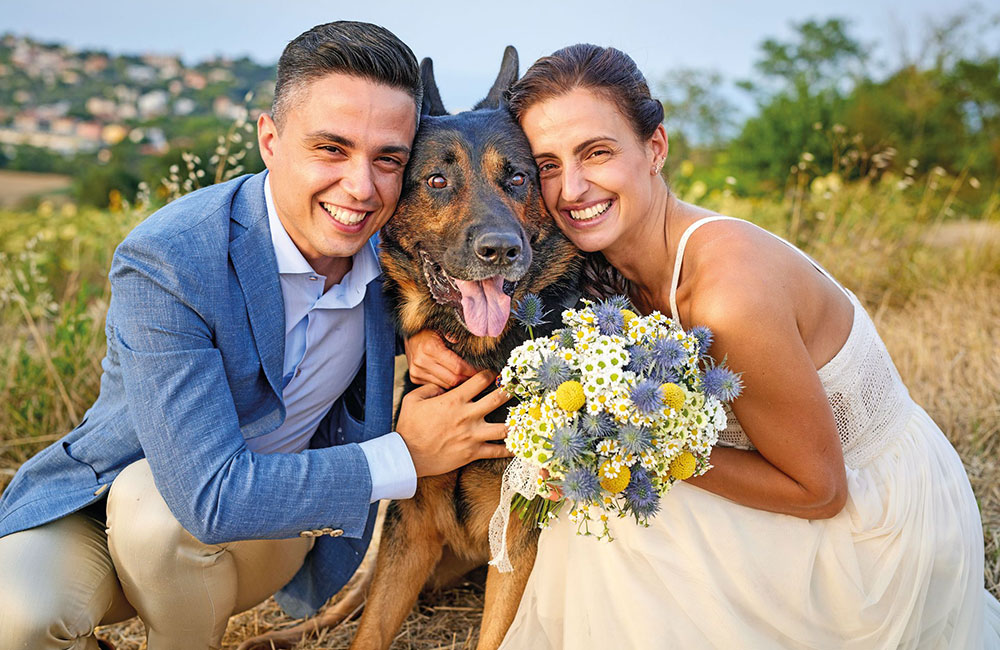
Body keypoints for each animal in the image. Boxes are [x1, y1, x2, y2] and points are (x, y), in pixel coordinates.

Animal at [239, 49, 584, 648]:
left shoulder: (514, 543)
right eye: (438, 180)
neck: (480, 353)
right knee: (343, 605)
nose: (500, 250)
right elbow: (369, 631)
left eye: (519, 177)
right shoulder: (411, 527)